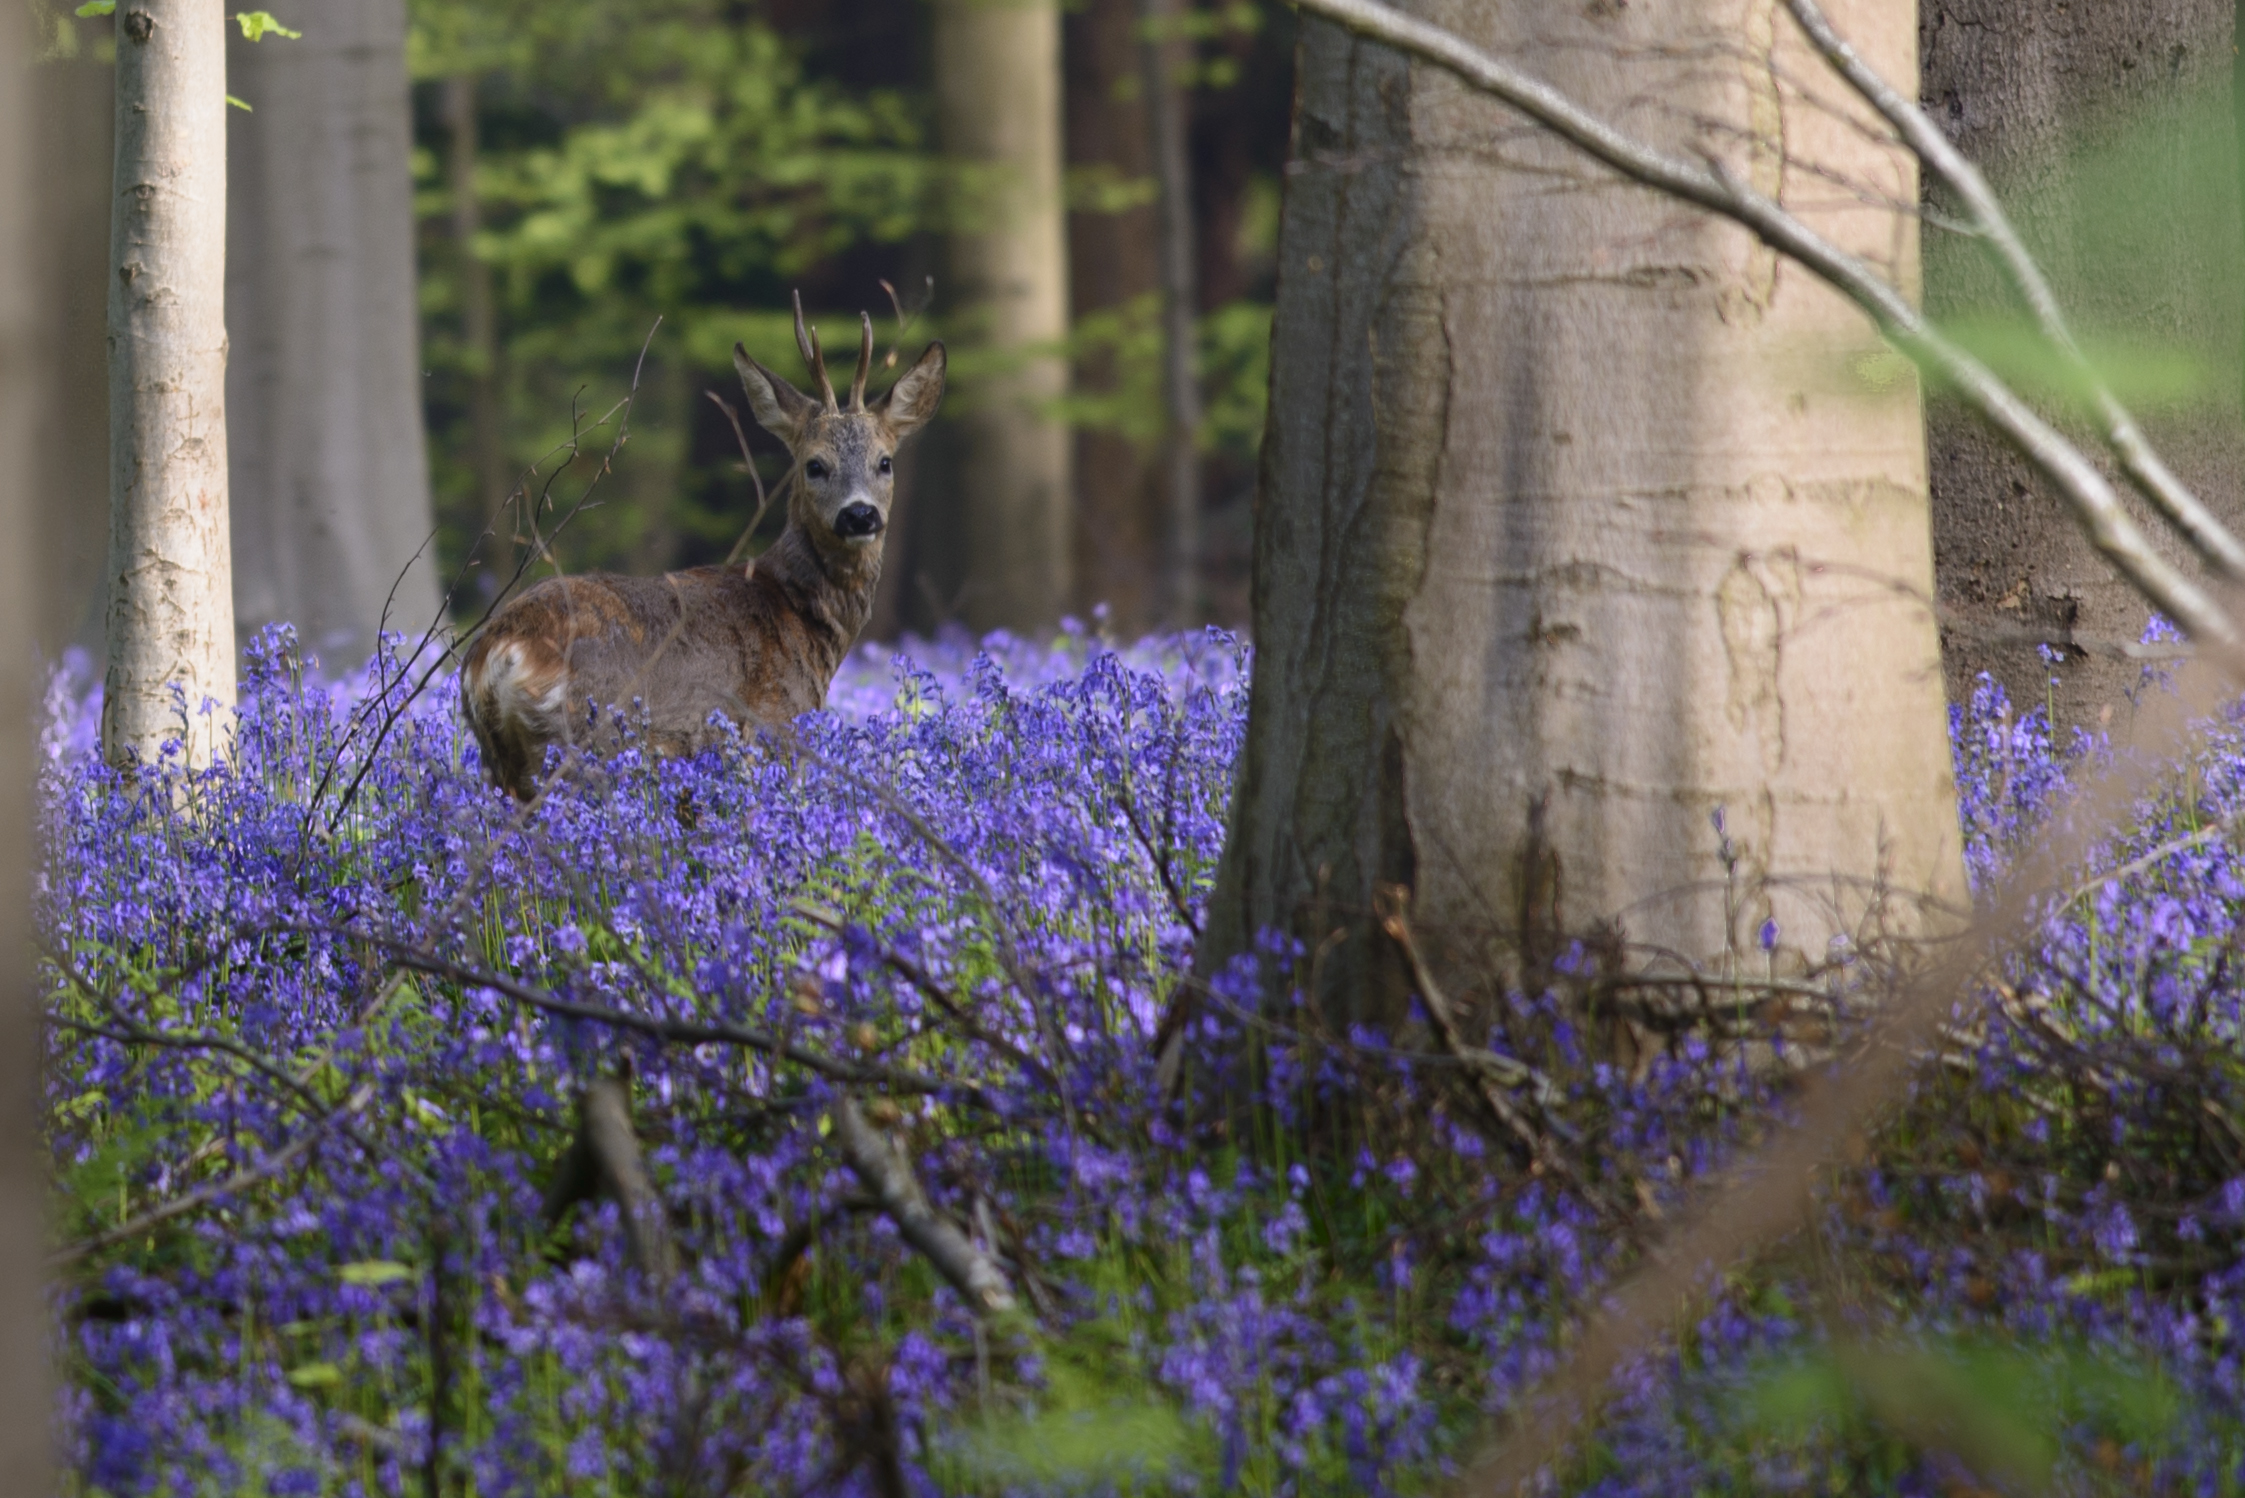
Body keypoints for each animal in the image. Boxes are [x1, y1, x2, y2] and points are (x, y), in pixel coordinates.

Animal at [455, 296, 947, 804]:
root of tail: (497, 654)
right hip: (585, 747)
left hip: (502, 765)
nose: (859, 515)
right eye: (814, 465)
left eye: (884, 462)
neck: (801, 613)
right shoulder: (773, 728)